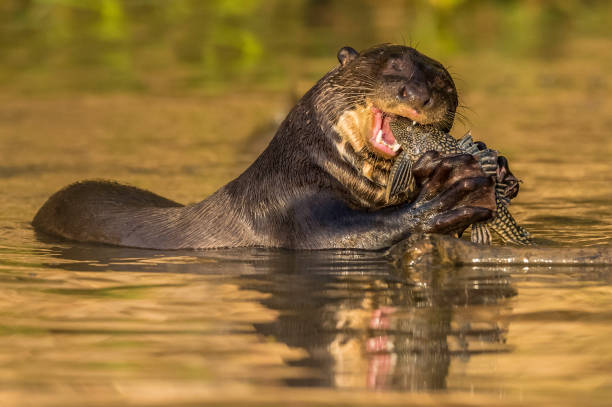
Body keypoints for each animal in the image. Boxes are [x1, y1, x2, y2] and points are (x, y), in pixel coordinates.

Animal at [32, 43, 498, 249]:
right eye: (394, 70)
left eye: (444, 83)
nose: (420, 97)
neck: (305, 167)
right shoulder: (287, 206)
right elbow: (347, 235)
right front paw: (443, 196)